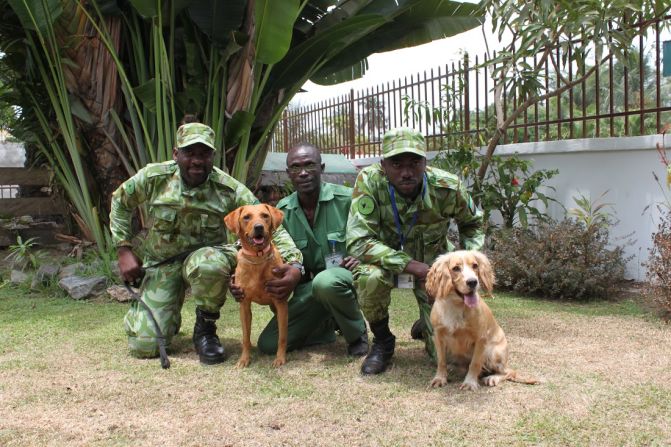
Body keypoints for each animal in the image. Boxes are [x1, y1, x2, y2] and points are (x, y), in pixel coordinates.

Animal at [226, 204, 288, 368]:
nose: (259, 227)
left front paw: (280, 358)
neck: (257, 259)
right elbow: (245, 337)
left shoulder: (280, 302)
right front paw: (244, 359)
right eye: (246, 217)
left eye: (265, 215)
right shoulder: (244, 305)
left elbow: (282, 336)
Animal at [426, 252, 540, 392]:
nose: (473, 282)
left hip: (493, 353)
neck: (457, 306)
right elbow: (441, 361)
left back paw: (492, 378)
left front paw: (470, 383)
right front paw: (440, 378)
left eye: (475, 265)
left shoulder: (480, 339)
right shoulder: (438, 336)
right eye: (456, 268)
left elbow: (475, 363)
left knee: (509, 372)